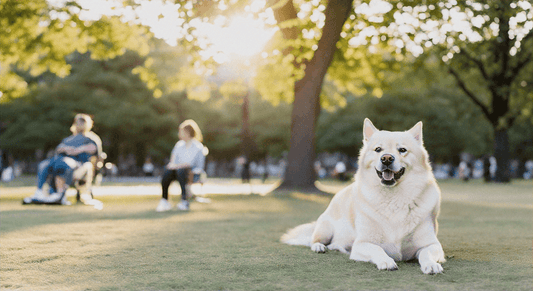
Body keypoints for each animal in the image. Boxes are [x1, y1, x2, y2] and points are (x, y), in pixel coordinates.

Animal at [282, 118, 444, 274]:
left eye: (402, 150)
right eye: (378, 149)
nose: (386, 158)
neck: (393, 199)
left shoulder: (432, 244)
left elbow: (426, 253)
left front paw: (431, 265)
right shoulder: (362, 244)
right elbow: (377, 249)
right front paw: (386, 261)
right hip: (325, 229)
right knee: (314, 241)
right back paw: (320, 247)